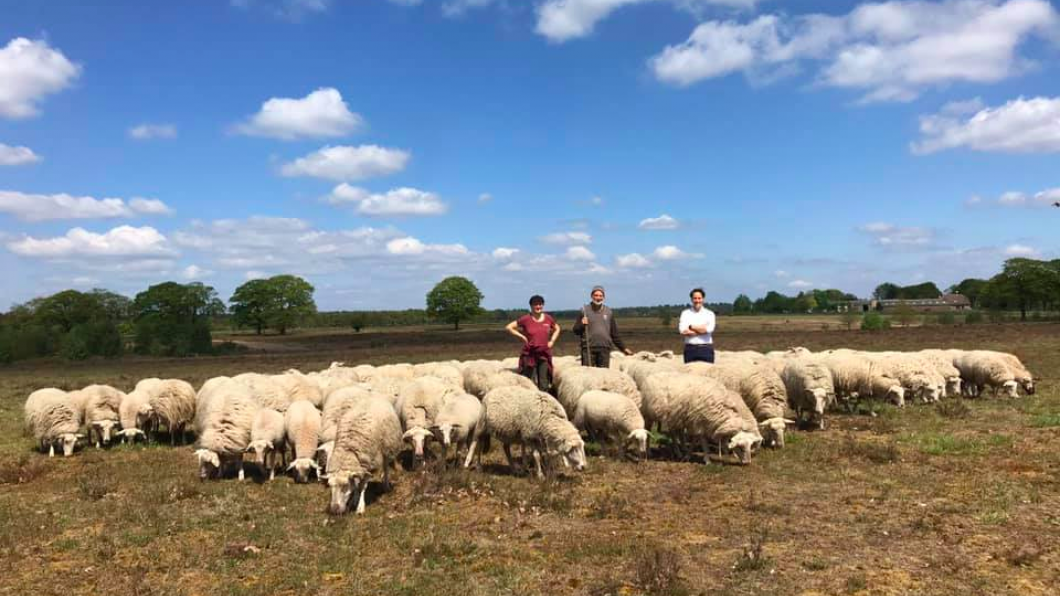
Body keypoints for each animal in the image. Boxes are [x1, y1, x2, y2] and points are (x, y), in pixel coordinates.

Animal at [635, 371, 763, 464]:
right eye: (741, 447)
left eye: (750, 446)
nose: (747, 463)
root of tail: (650, 376)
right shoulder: (697, 422)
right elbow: (702, 442)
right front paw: (707, 460)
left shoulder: (701, 422)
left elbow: (696, 441)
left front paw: (688, 454)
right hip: (648, 414)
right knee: (648, 431)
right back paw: (648, 451)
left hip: (673, 416)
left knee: (673, 433)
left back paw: (678, 452)